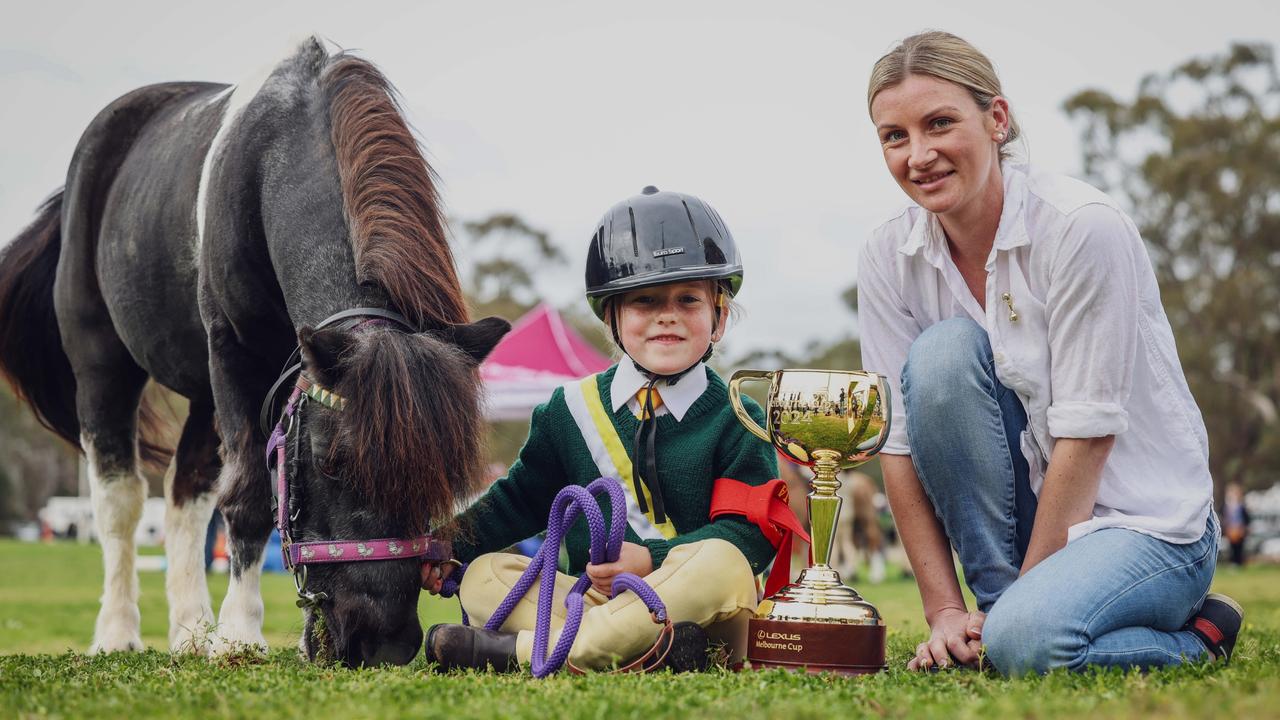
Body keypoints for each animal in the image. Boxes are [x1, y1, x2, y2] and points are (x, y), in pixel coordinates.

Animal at [0, 36, 509, 666]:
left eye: (444, 471)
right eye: (331, 461)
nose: (381, 643)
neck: (275, 159)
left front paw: (218, 632)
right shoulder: (234, 356)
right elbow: (244, 495)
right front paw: (239, 633)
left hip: (201, 393)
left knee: (183, 492)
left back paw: (191, 631)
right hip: (103, 364)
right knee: (120, 498)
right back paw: (118, 632)